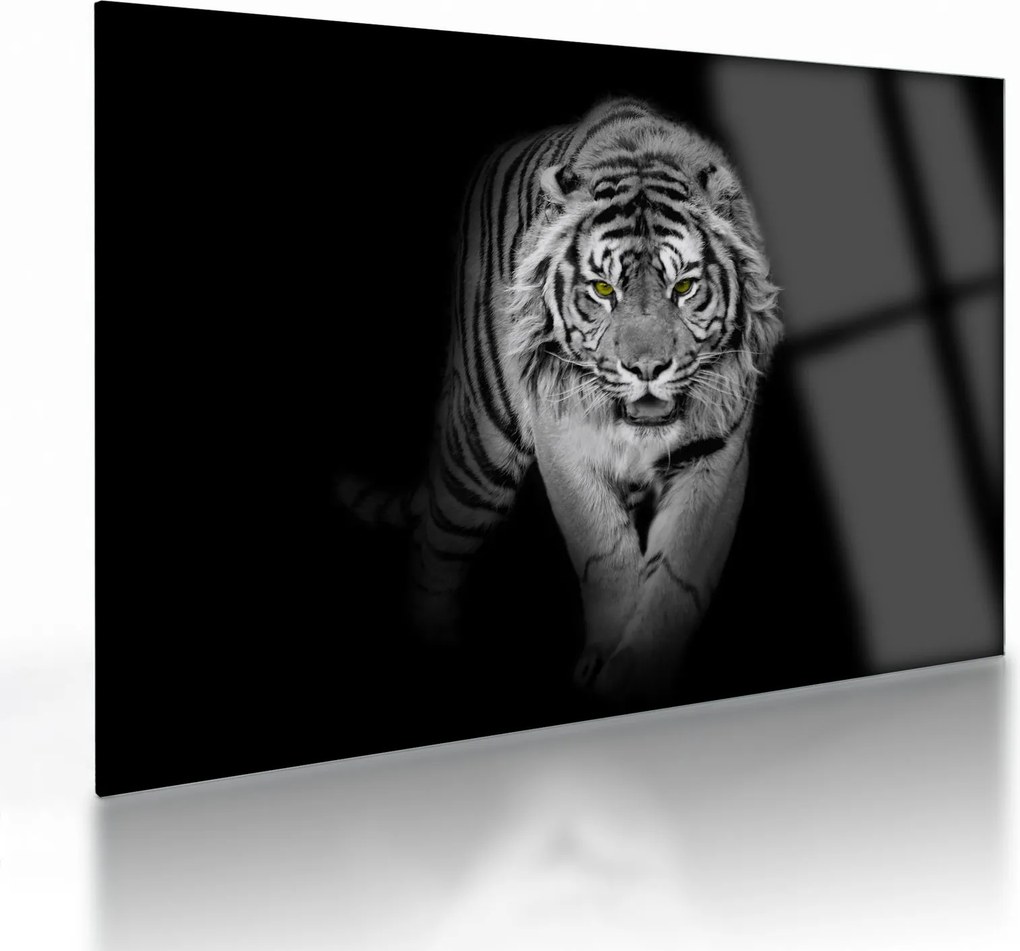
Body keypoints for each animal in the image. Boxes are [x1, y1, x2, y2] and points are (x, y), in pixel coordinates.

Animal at [340, 97, 782, 705]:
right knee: (434, 546)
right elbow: (605, 555)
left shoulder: (716, 455)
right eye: (603, 290)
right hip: (481, 449)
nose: (647, 369)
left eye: (684, 287)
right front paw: (602, 667)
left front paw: (636, 674)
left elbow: (677, 576)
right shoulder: (564, 445)